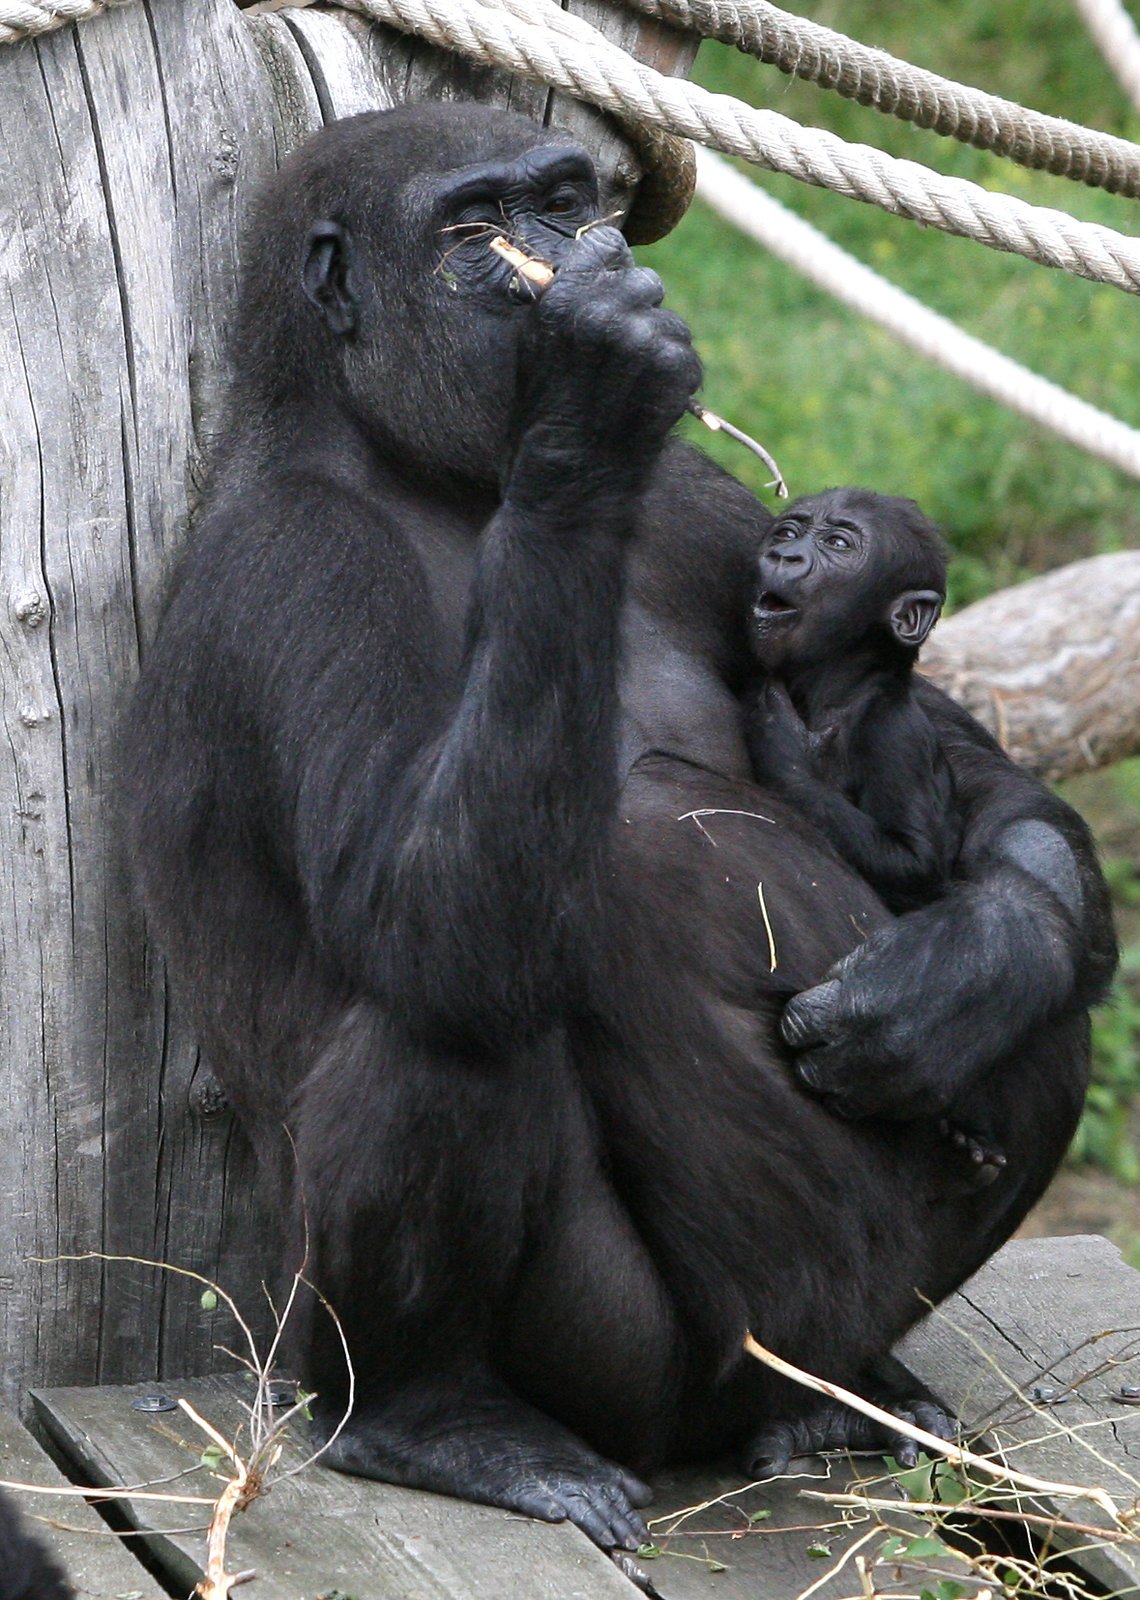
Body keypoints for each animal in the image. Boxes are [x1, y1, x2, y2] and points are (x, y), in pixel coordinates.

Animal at [742, 486, 999, 1190]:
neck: (840, 685)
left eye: (838, 544)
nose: (785, 554)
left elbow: (915, 861)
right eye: (790, 529)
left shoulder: (894, 738)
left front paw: (784, 749)